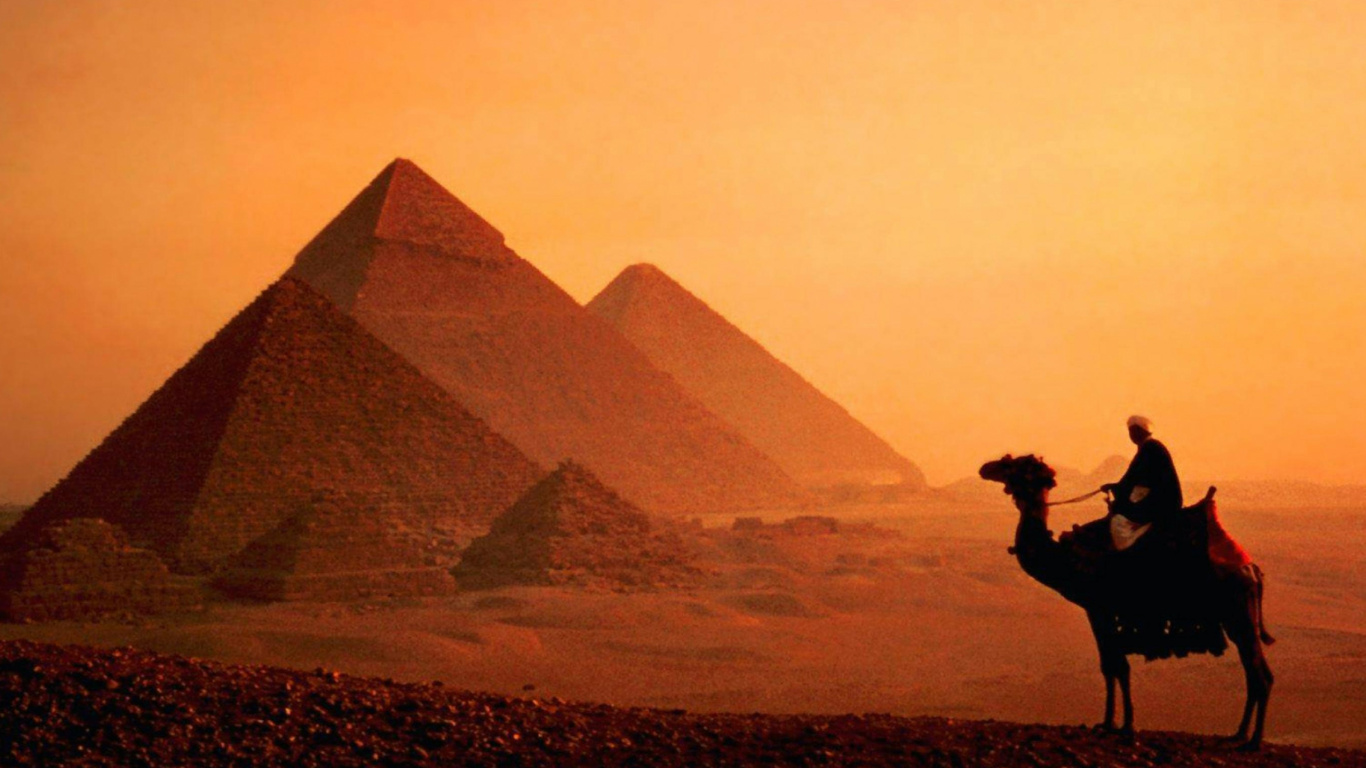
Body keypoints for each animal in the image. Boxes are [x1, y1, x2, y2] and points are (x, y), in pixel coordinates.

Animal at [979, 454, 1274, 749]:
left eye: (1011, 464)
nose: (985, 468)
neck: (1068, 557)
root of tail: (1252, 569)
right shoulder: (1099, 611)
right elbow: (1112, 665)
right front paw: (1111, 723)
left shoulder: (1100, 608)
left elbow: (1117, 665)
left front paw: (1122, 724)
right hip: (1239, 615)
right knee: (1259, 673)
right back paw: (1240, 734)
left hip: (1238, 613)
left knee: (1258, 674)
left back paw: (1253, 739)